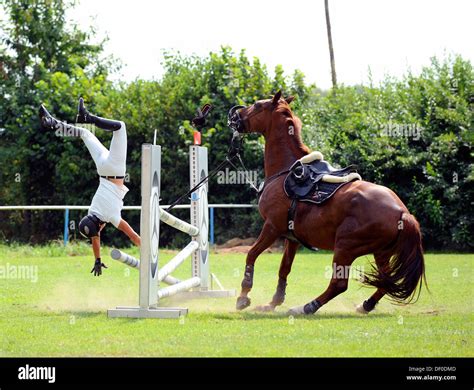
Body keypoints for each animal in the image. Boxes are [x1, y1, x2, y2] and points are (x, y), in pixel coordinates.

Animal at [230, 90, 426, 314]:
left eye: (256, 105)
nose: (235, 115)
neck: (285, 171)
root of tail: (403, 213)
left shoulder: (272, 227)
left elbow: (251, 255)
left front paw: (243, 296)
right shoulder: (292, 238)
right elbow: (284, 268)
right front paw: (273, 303)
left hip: (345, 247)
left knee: (339, 284)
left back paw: (306, 307)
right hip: (380, 252)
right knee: (385, 282)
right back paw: (365, 305)